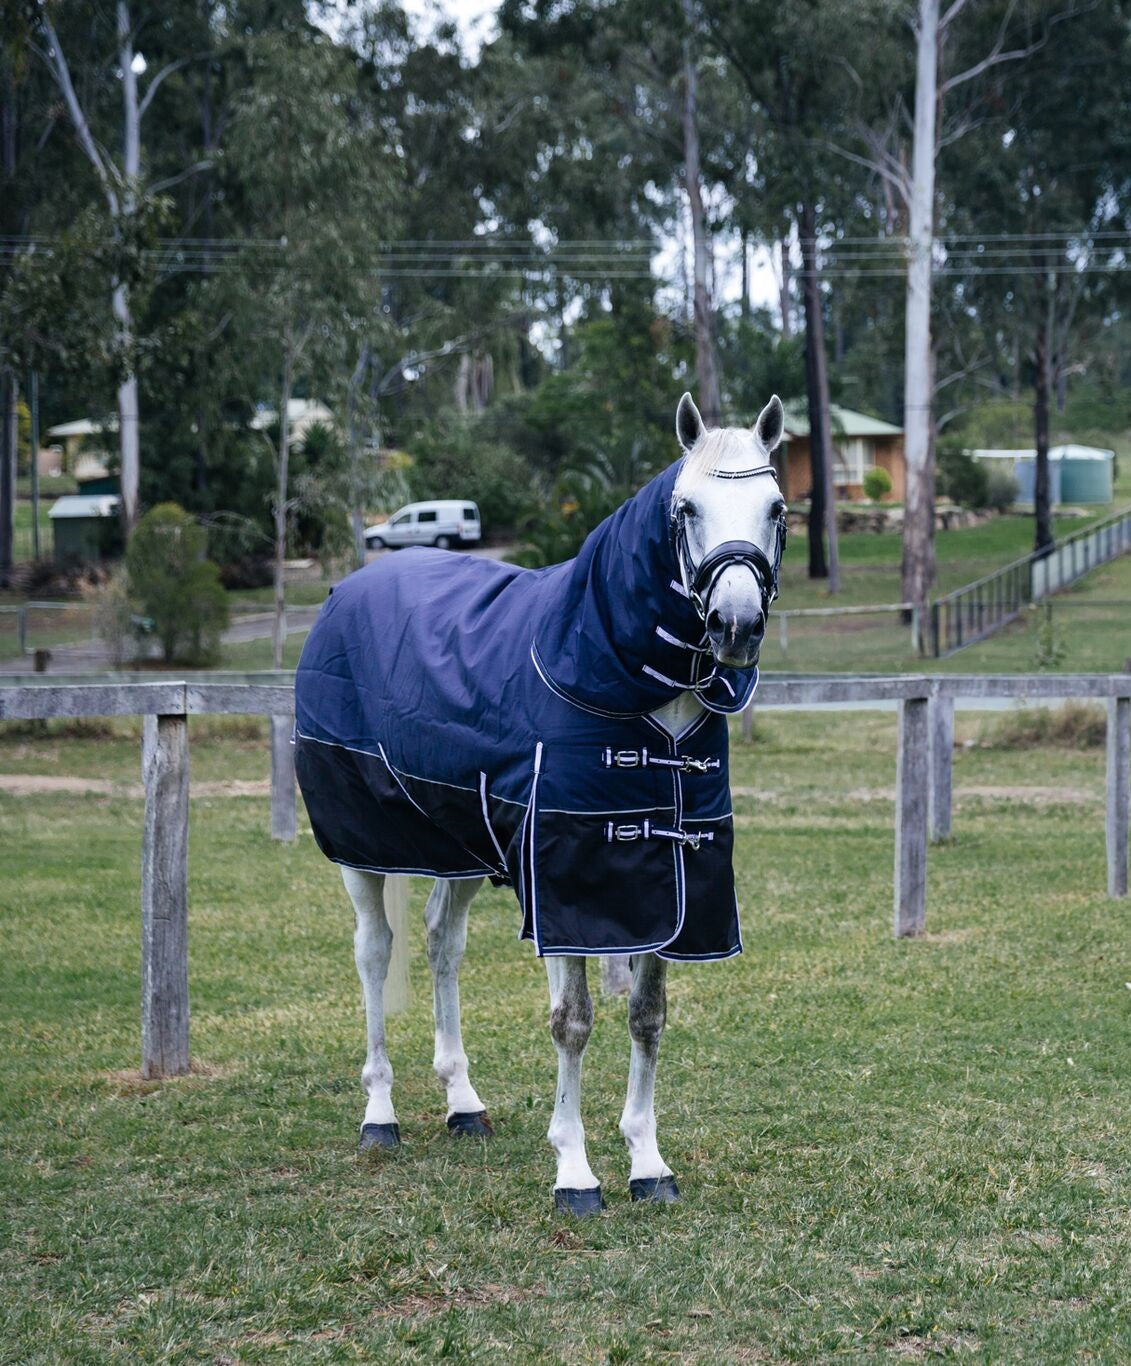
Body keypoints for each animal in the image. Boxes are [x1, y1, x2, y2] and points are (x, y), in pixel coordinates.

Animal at [293, 390, 786, 1213]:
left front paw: (648, 1163)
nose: (736, 625)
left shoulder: (671, 886)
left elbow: (647, 1018)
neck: (601, 667)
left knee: (441, 943)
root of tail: (347, 590)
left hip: (460, 847)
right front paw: (575, 1173)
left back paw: (463, 1103)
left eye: (776, 508)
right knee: (374, 952)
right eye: (685, 508)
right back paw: (379, 1114)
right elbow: (572, 1023)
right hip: (363, 851)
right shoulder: (564, 888)